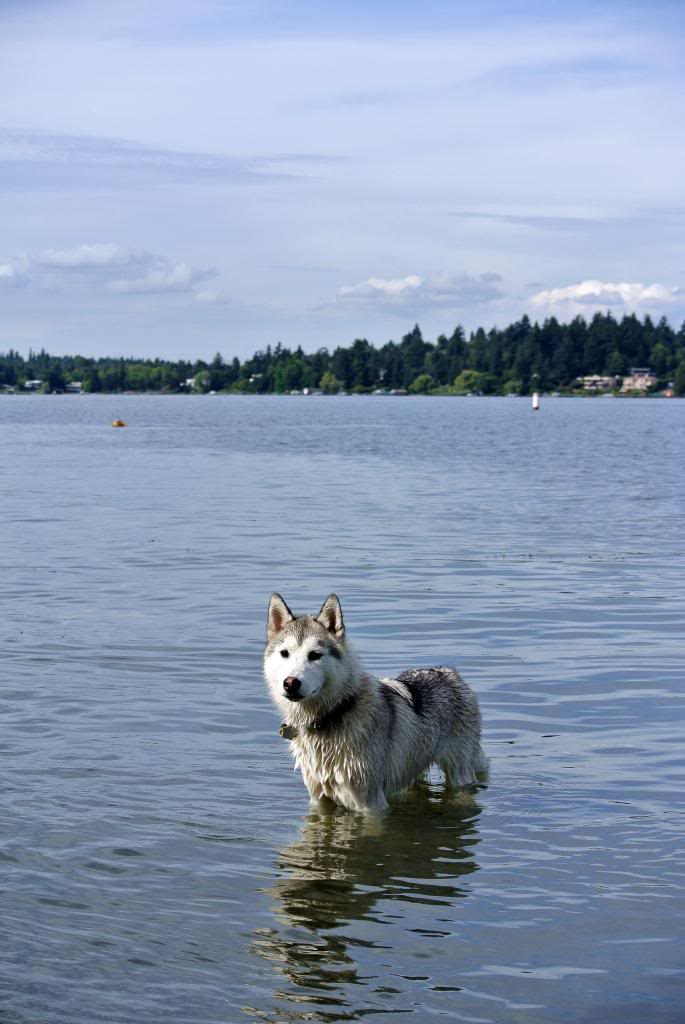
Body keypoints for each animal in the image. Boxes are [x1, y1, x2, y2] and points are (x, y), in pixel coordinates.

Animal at [262, 593, 485, 815]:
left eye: (314, 655)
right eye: (284, 653)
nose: (290, 683)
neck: (335, 713)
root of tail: (448, 671)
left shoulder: (370, 805)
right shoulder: (319, 800)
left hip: (459, 774)